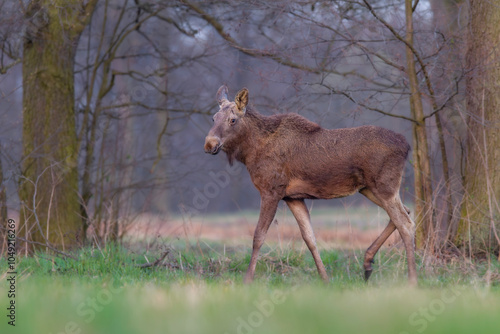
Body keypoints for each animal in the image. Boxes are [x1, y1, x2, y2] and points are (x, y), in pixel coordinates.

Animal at [203, 85, 418, 284]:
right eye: (213, 118)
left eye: (232, 119)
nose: (209, 144)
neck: (250, 153)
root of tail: (407, 146)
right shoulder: (293, 197)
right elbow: (309, 238)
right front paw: (325, 279)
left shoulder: (271, 190)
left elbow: (259, 236)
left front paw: (247, 280)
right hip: (370, 189)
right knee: (406, 212)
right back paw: (367, 263)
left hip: (384, 186)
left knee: (406, 223)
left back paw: (412, 280)